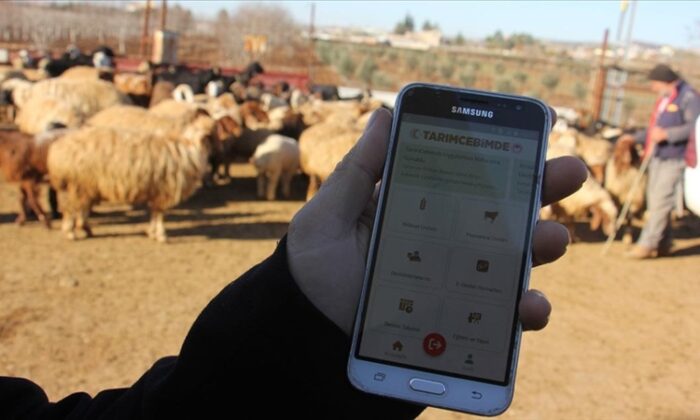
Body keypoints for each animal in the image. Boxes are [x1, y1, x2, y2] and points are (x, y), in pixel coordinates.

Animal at [48, 115, 216, 241]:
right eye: (210, 134)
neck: (188, 148)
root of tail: (57, 150)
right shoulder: (164, 190)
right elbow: (160, 214)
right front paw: (160, 235)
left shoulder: (156, 192)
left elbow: (154, 213)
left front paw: (152, 232)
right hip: (76, 184)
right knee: (71, 210)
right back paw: (71, 232)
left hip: (81, 186)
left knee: (77, 209)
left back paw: (84, 229)